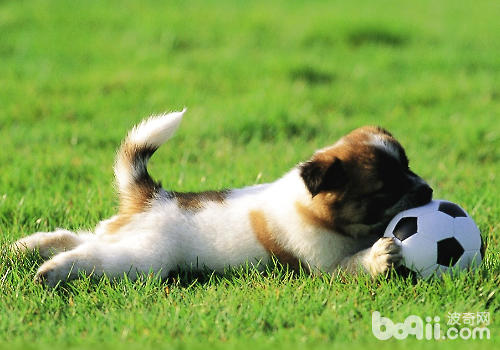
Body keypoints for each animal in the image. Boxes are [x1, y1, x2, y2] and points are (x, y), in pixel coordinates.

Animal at [13, 110, 432, 288]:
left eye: (409, 166)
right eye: (384, 190)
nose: (428, 190)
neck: (316, 209)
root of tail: (152, 197)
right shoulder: (325, 267)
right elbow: (356, 264)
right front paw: (380, 256)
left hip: (122, 234)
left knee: (76, 237)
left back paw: (24, 248)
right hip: (145, 257)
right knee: (92, 256)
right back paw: (52, 270)